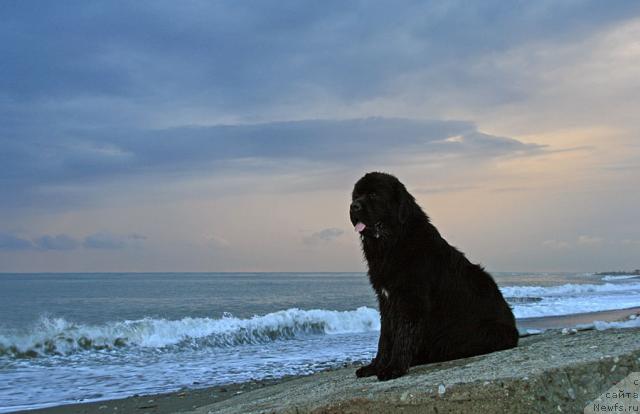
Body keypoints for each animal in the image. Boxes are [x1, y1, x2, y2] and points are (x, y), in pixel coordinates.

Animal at [350, 172, 520, 382]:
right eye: (356, 195)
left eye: (374, 195)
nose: (354, 206)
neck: (394, 242)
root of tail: (514, 328)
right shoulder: (387, 300)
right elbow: (386, 337)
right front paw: (375, 367)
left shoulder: (411, 299)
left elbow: (402, 335)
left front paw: (394, 368)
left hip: (488, 331)